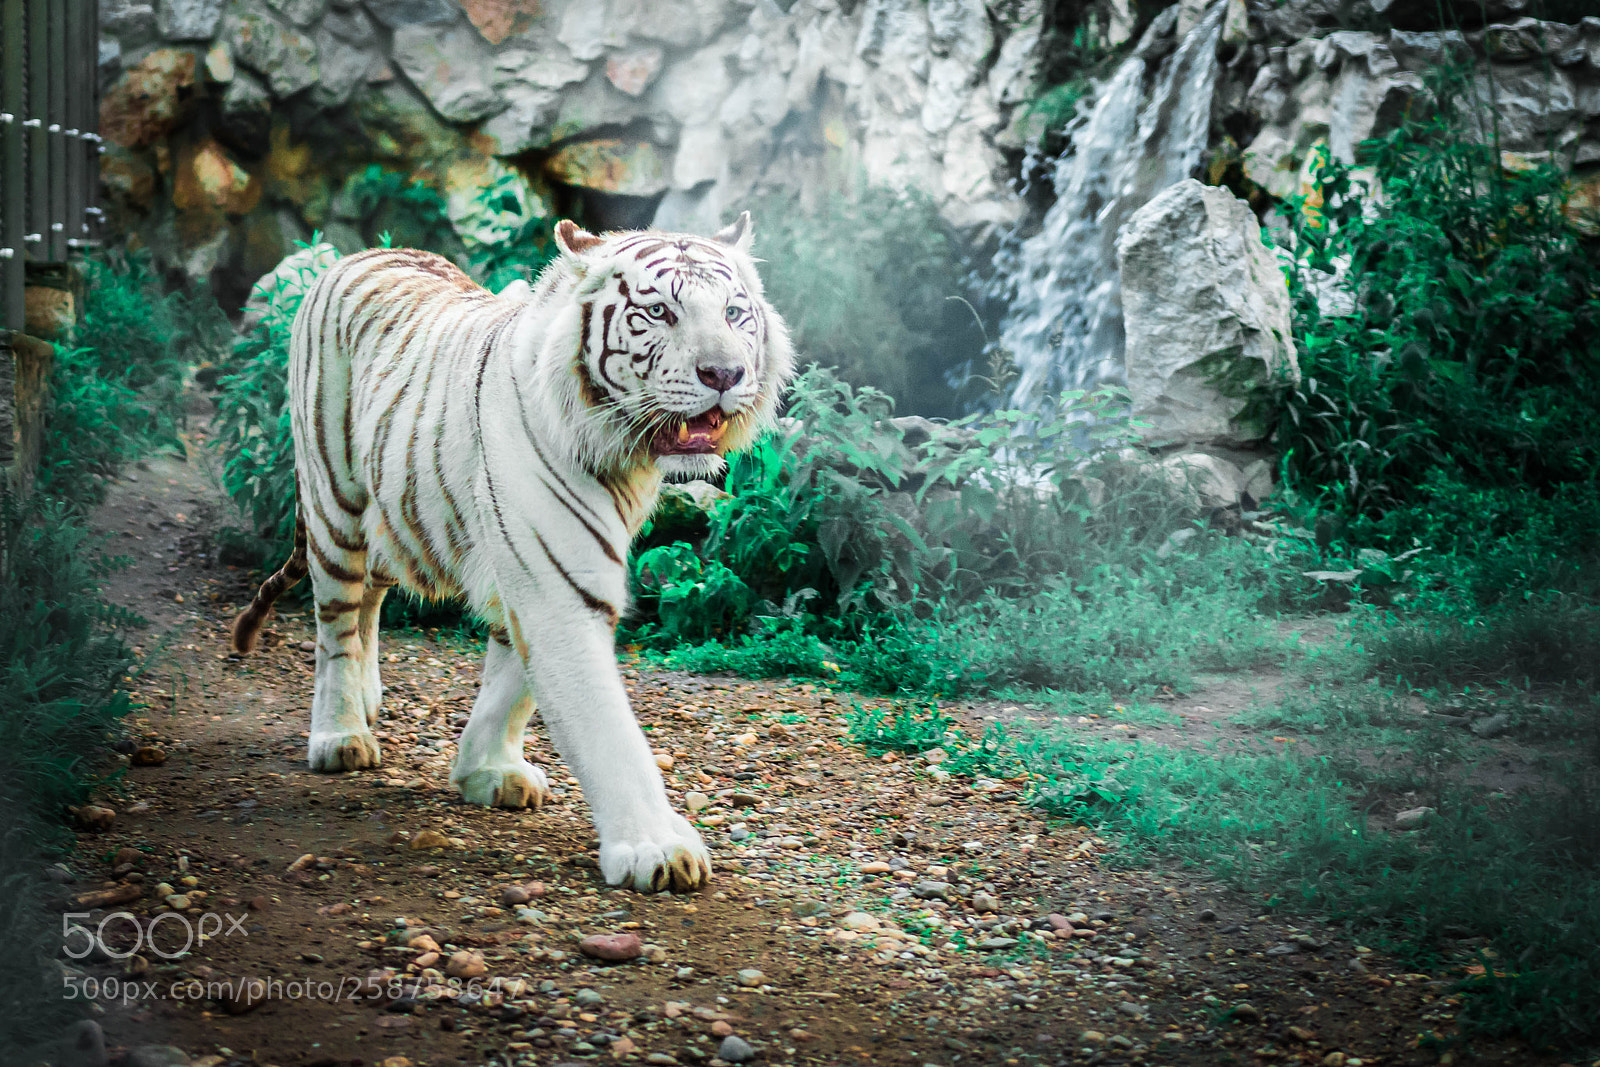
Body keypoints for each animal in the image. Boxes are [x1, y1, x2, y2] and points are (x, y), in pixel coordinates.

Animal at [230, 214, 793, 892]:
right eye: (659, 311)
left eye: (735, 313)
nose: (724, 375)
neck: (623, 456)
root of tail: (353, 255)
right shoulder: (558, 585)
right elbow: (604, 727)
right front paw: (656, 848)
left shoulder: (534, 578)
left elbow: (512, 686)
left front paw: (485, 769)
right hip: (334, 501)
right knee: (335, 623)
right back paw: (341, 734)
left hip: (393, 514)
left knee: (370, 601)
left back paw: (368, 701)